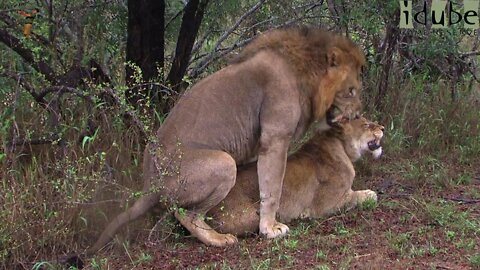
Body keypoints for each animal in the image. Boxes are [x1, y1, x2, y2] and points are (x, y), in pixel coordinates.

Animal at [87, 26, 364, 253]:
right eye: (350, 91)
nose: (358, 114)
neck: (305, 75)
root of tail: (150, 182)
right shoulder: (275, 138)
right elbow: (272, 188)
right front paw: (270, 228)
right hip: (223, 163)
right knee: (185, 212)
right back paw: (218, 239)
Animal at [208, 117, 384, 235]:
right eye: (366, 124)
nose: (383, 128)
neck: (341, 147)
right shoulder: (328, 204)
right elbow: (358, 196)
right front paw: (370, 193)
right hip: (249, 217)